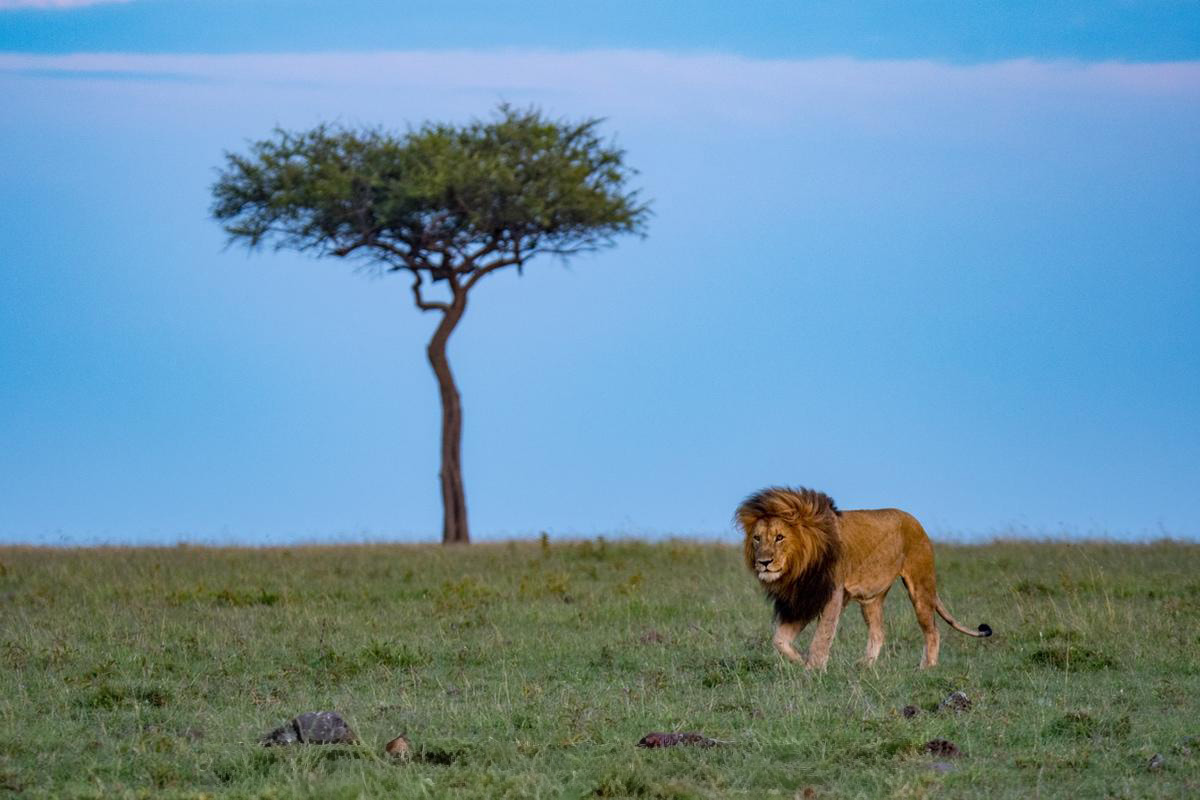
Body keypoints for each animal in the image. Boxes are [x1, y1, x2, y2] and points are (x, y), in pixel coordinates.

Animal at [736, 487, 991, 669]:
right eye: (757, 538)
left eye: (779, 537)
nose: (764, 562)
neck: (799, 568)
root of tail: (915, 521)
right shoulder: (804, 599)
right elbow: (779, 639)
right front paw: (800, 661)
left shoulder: (831, 594)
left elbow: (821, 638)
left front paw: (813, 670)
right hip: (871, 599)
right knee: (879, 632)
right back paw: (865, 666)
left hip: (921, 586)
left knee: (932, 631)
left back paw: (927, 668)